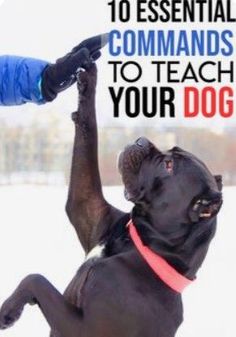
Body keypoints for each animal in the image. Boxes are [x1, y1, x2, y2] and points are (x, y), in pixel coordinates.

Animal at [0, 64, 223, 334]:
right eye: (171, 151)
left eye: (169, 166)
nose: (142, 140)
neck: (143, 246)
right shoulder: (88, 204)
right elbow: (88, 130)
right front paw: (85, 77)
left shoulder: (81, 327)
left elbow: (36, 279)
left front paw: (9, 310)